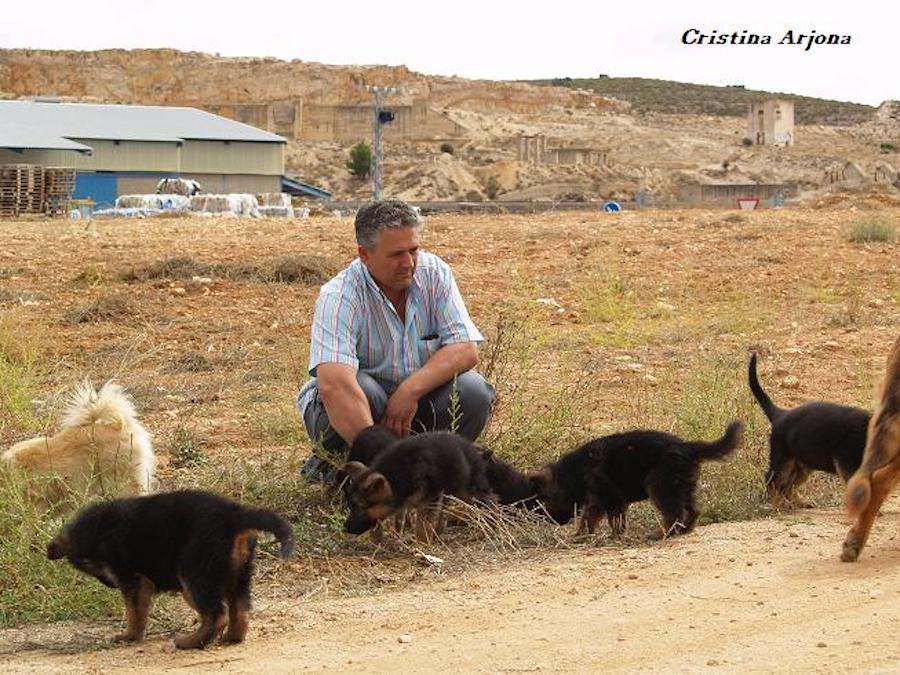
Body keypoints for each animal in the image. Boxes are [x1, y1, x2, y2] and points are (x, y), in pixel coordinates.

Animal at [47, 492, 294, 648]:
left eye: (92, 565)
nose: (110, 584)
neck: (100, 528)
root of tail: (235, 516)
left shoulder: (133, 580)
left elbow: (134, 613)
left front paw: (129, 637)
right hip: (239, 574)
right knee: (240, 611)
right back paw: (231, 638)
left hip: (194, 574)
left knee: (217, 615)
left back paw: (190, 642)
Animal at [342, 434, 492, 544]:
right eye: (351, 506)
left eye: (360, 508)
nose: (345, 528)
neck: (396, 475)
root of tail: (471, 446)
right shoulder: (404, 502)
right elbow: (398, 520)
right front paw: (387, 538)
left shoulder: (429, 500)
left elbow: (422, 526)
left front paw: (421, 546)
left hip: (468, 490)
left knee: (491, 503)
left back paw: (490, 529)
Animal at [532, 422, 740, 540]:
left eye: (544, 503)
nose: (554, 523)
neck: (573, 472)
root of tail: (687, 447)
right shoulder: (611, 500)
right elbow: (610, 519)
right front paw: (612, 535)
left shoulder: (603, 497)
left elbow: (591, 518)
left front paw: (582, 536)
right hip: (681, 485)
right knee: (692, 509)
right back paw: (683, 531)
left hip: (659, 484)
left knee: (674, 512)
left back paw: (661, 534)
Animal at [748, 354, 868, 508]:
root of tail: (781, 414)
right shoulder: (847, 464)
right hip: (783, 460)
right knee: (772, 480)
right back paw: (776, 504)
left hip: (801, 466)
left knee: (788, 485)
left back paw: (797, 502)